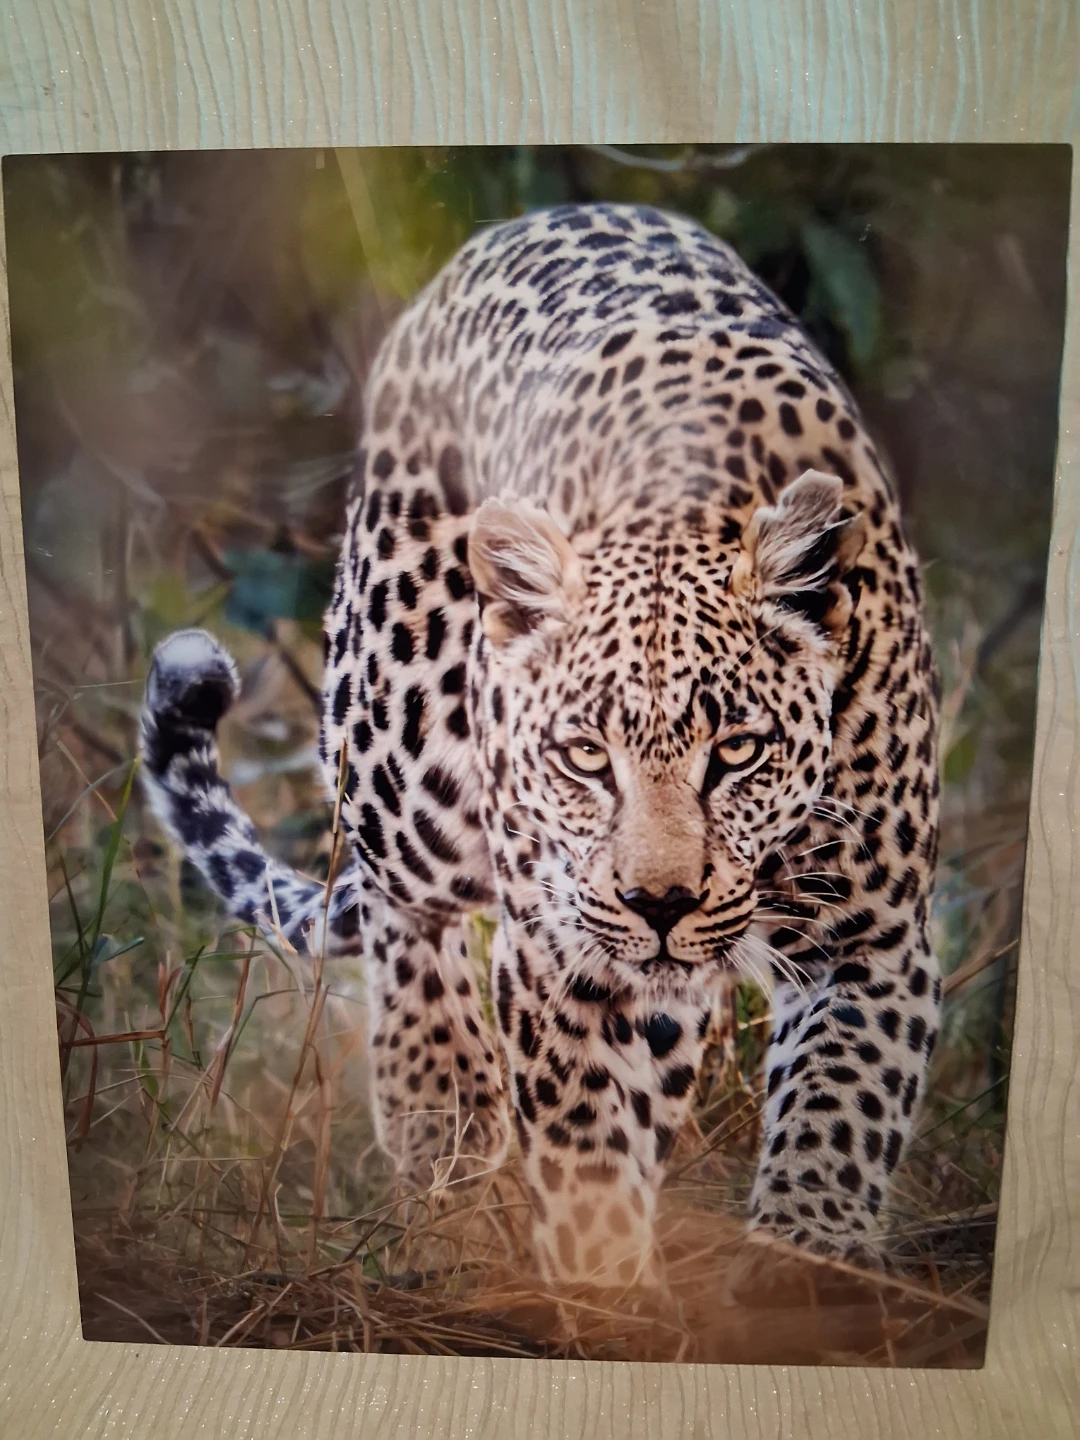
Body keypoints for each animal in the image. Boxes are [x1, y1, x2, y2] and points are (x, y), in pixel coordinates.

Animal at [140, 201, 942, 1289]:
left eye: (736, 751)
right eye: (585, 757)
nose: (660, 902)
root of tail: (535, 219)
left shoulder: (872, 942)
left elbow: (835, 1131)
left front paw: (806, 1280)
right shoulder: (565, 954)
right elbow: (586, 1147)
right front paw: (603, 1291)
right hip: (408, 763)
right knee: (402, 912)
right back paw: (444, 1116)